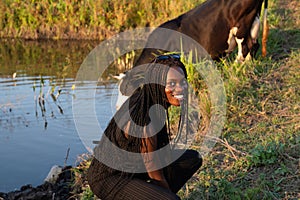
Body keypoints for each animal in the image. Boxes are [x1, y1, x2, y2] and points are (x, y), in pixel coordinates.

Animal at [116, 0, 268, 101]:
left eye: (128, 88)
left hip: (240, 26)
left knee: (244, 48)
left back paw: (234, 68)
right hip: (254, 21)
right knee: (253, 45)